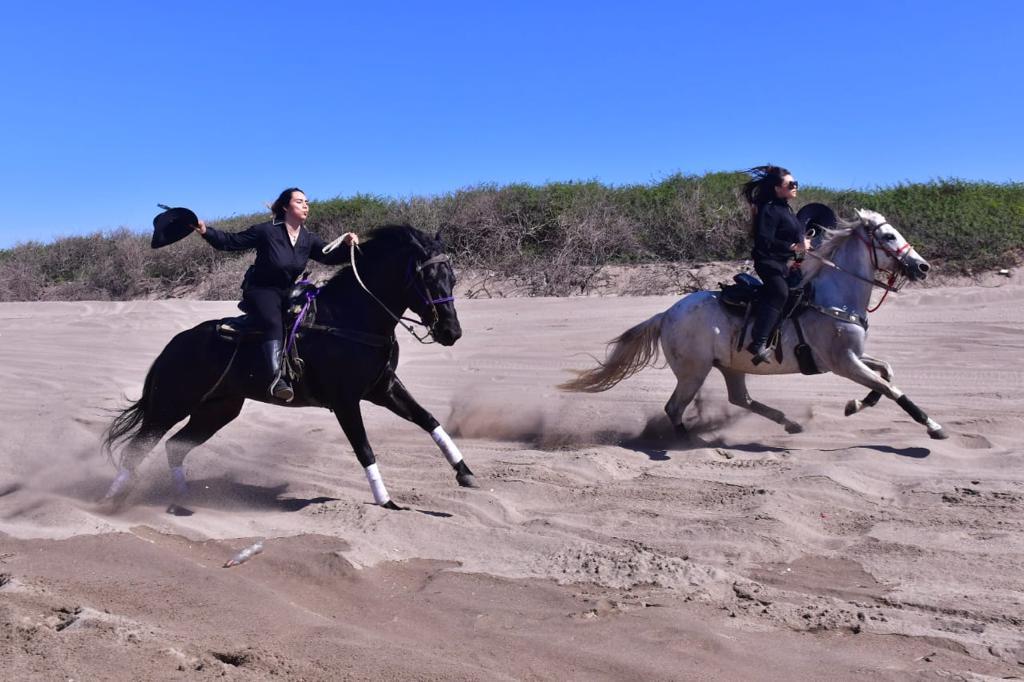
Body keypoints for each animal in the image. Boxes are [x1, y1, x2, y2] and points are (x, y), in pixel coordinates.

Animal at [101, 224, 473, 509]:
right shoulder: (346, 401)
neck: (350, 318)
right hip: (169, 406)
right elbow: (364, 448)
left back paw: (182, 498)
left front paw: (465, 472)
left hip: (216, 411)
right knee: (137, 450)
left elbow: (429, 420)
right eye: (426, 277)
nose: (451, 332)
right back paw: (112, 499)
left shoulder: (383, 388)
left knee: (174, 448)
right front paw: (385, 500)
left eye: (453, 277)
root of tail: (173, 346)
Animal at [565, 208, 946, 440]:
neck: (832, 296)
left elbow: (886, 373)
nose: (923, 267)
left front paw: (855, 405)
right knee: (675, 407)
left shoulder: (853, 357)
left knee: (740, 399)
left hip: (729, 367)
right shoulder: (843, 363)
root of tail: (666, 315)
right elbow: (891, 388)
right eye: (889, 237)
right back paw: (689, 440)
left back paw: (790, 423)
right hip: (693, 371)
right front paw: (932, 425)